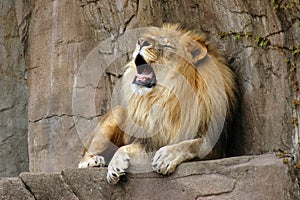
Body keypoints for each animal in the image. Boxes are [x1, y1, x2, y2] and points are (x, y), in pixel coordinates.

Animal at [78, 24, 238, 184]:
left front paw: (165, 157)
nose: (141, 41)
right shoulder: (151, 139)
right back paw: (93, 161)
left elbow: (189, 144)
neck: (166, 97)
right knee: (82, 159)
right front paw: (114, 166)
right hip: (117, 112)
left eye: (168, 45)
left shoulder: (214, 144)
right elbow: (124, 148)